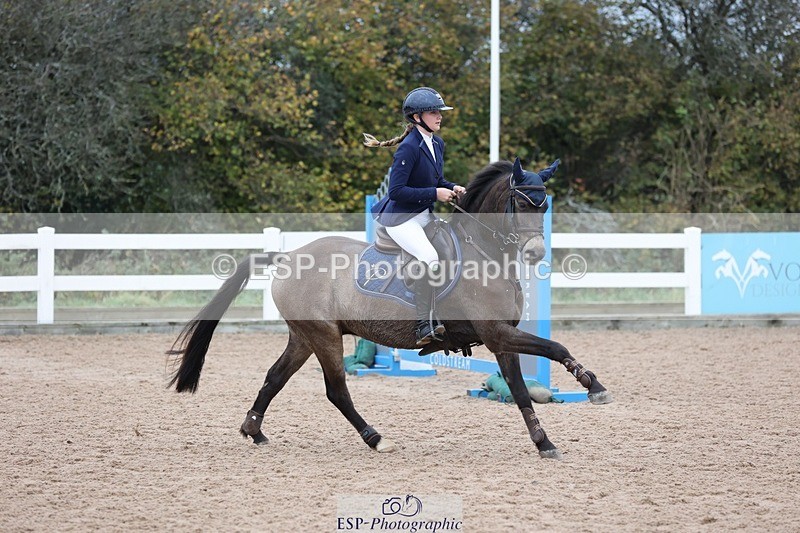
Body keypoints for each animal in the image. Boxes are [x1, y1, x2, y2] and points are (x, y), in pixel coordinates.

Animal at [167, 157, 612, 459]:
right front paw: (592, 385)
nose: (536, 253)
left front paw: (544, 440)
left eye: (544, 205)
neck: (485, 255)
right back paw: (375, 437)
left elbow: (521, 390)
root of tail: (288, 256)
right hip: (324, 336)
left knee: (275, 377)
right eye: (520, 204)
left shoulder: (501, 339)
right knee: (336, 390)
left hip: (304, 336)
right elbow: (553, 348)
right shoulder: (497, 332)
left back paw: (253, 429)